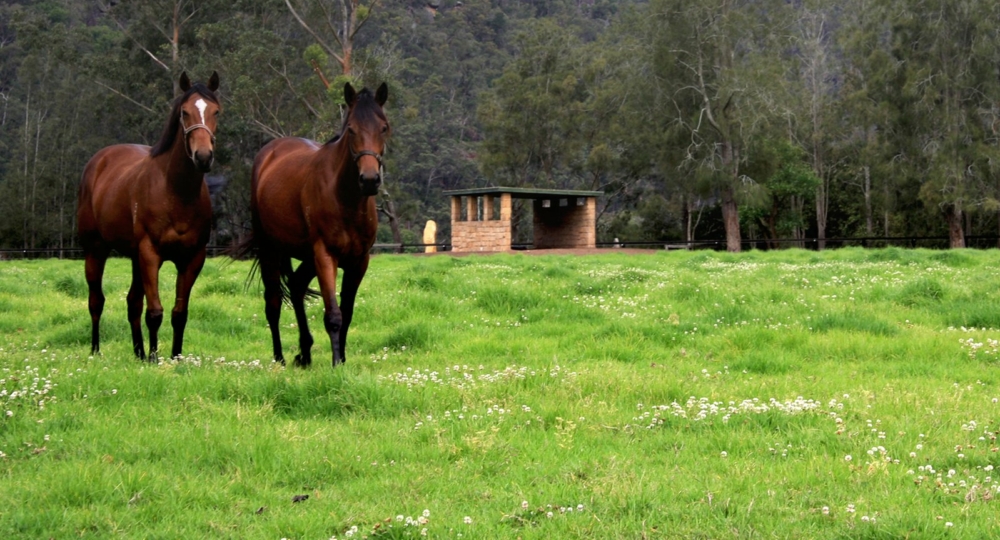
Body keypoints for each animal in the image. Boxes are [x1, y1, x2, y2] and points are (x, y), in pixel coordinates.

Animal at [77, 71, 222, 358]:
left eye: (216, 111)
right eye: (184, 112)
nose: (203, 156)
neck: (175, 192)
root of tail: (97, 161)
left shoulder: (192, 258)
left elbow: (179, 313)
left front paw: (175, 357)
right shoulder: (150, 254)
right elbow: (155, 312)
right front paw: (156, 359)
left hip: (134, 258)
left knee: (133, 302)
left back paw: (139, 354)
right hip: (96, 250)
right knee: (96, 301)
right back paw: (96, 350)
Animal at [246, 82, 390, 370]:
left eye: (383, 127)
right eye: (351, 129)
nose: (369, 179)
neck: (345, 198)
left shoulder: (359, 261)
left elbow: (347, 312)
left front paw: (342, 359)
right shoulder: (325, 255)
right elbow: (333, 315)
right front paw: (336, 364)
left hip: (306, 256)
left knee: (297, 286)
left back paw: (305, 353)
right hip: (270, 250)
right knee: (273, 302)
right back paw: (279, 357)